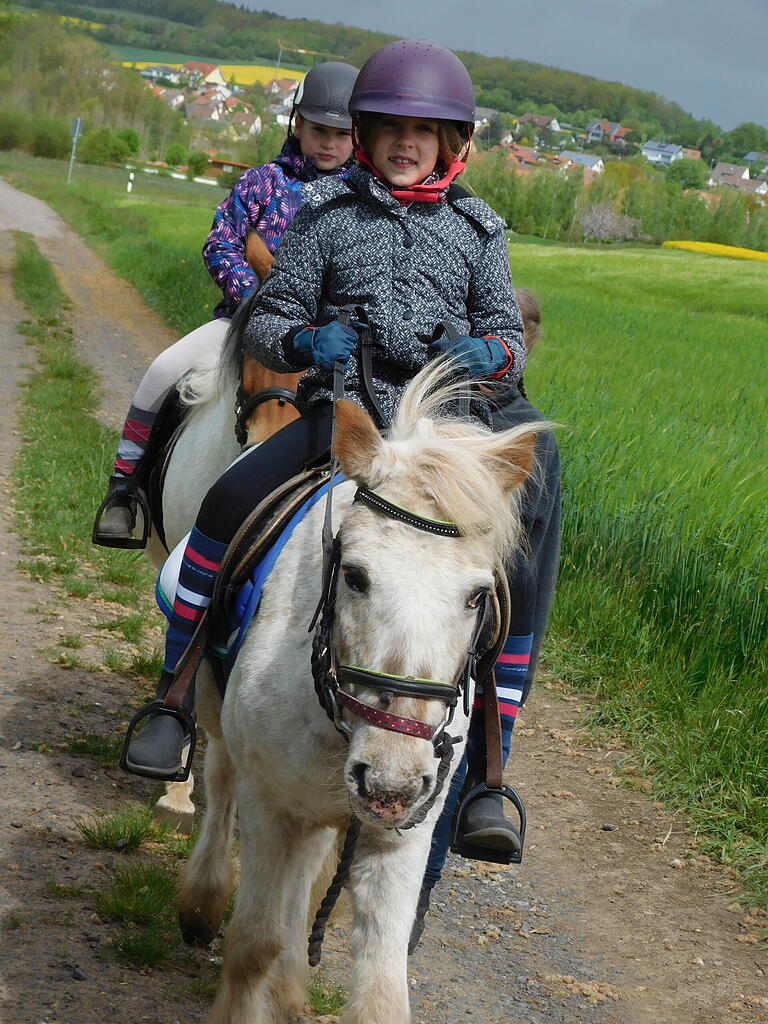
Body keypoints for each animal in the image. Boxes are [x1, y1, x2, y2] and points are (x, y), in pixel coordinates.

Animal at [171, 362, 536, 1024]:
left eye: (478, 595)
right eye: (356, 575)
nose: (391, 784)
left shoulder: (401, 834)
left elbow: (381, 988)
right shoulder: (272, 805)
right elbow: (252, 942)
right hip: (218, 717)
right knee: (220, 780)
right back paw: (202, 901)